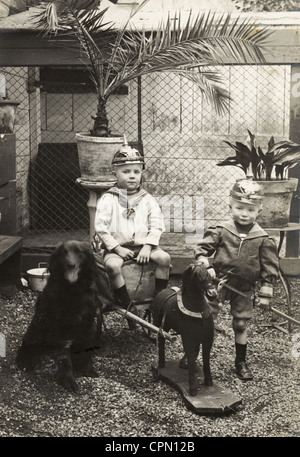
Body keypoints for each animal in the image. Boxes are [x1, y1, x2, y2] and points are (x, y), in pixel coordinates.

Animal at [16, 239, 102, 392]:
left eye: (78, 252)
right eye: (64, 252)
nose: (70, 264)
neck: (73, 290)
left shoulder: (88, 323)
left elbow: (86, 351)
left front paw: (88, 369)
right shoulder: (60, 327)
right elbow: (64, 358)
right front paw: (68, 380)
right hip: (36, 331)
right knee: (26, 348)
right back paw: (25, 361)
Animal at [152, 264, 216, 396]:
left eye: (209, 275)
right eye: (197, 276)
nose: (212, 294)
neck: (198, 311)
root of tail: (162, 292)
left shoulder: (207, 338)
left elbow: (205, 358)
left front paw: (208, 381)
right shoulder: (188, 338)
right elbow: (191, 358)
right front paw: (193, 389)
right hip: (162, 326)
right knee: (161, 341)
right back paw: (161, 365)